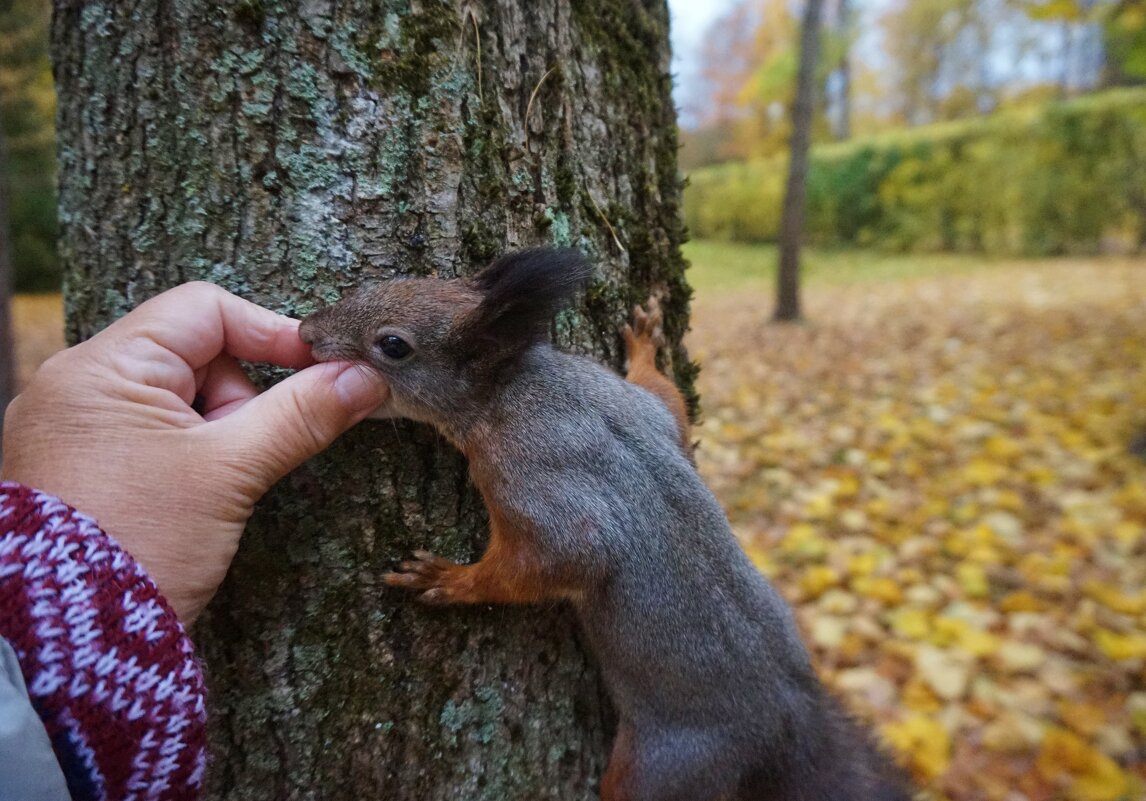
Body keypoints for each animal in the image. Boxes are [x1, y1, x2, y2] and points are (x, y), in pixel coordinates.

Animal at [297, 250, 912, 801]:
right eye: (393, 281)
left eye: (393, 346)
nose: (305, 333)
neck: (516, 388)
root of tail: (786, 720)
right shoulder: (639, 409)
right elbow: (669, 404)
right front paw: (644, 344)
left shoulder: (533, 477)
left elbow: (563, 557)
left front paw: (450, 580)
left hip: (668, 765)